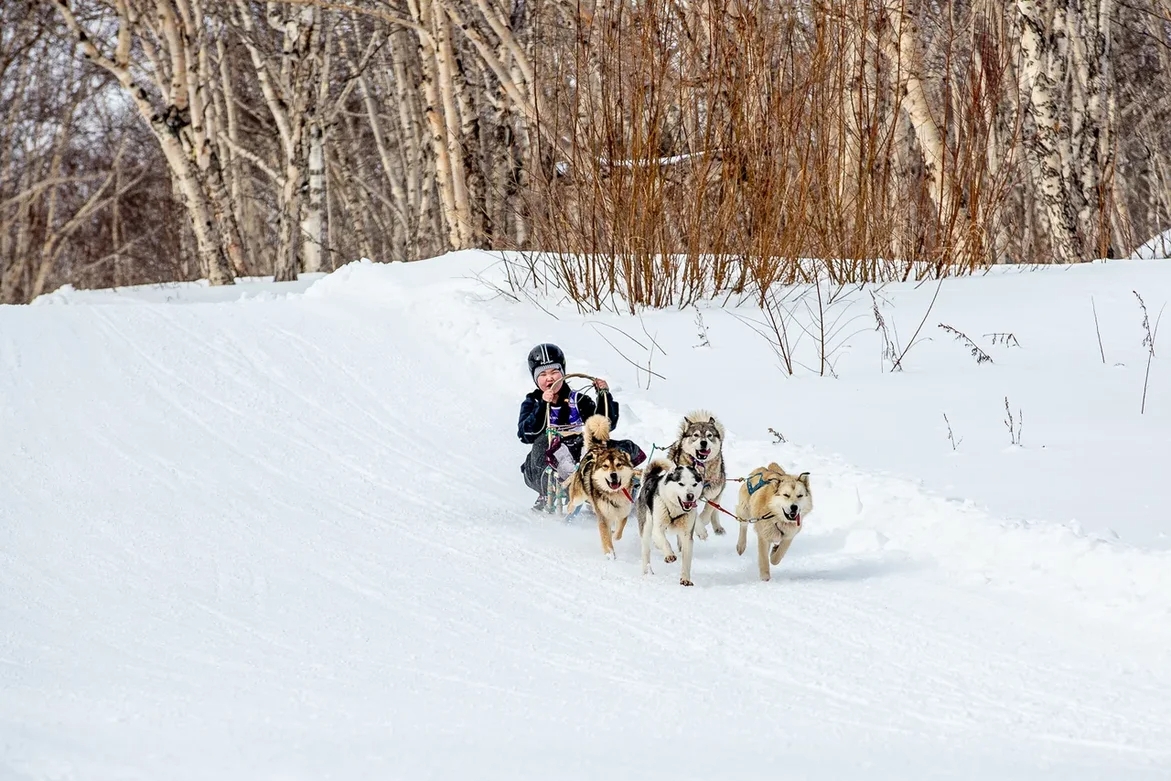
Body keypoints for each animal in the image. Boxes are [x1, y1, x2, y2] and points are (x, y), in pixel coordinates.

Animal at [564, 414, 637, 555]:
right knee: (572, 501)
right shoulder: (603, 517)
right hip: (578, 496)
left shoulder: (623, 513)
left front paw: (614, 535)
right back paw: (568, 505)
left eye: (619, 464)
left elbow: (618, 532)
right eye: (605, 466)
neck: (614, 495)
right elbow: (606, 538)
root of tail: (596, 449)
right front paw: (610, 555)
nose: (613, 475)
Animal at [665, 412, 726, 540]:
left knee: (715, 509)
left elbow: (708, 511)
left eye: (709, 435)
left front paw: (703, 521)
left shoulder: (715, 492)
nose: (703, 442)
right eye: (696, 435)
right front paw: (701, 529)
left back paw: (718, 527)